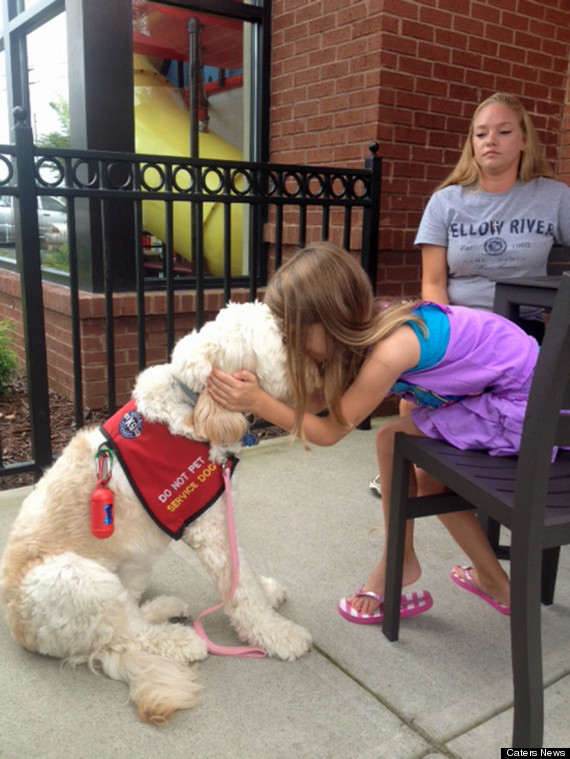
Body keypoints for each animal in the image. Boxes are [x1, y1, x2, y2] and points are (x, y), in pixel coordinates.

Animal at [0, 302, 310, 724]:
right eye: (281, 337)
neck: (192, 401)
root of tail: (22, 633)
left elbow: (245, 573)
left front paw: (268, 592)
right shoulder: (211, 529)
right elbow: (241, 586)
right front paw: (280, 634)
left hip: (131, 569)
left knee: (128, 616)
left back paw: (163, 608)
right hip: (75, 577)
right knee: (124, 638)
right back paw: (182, 641)